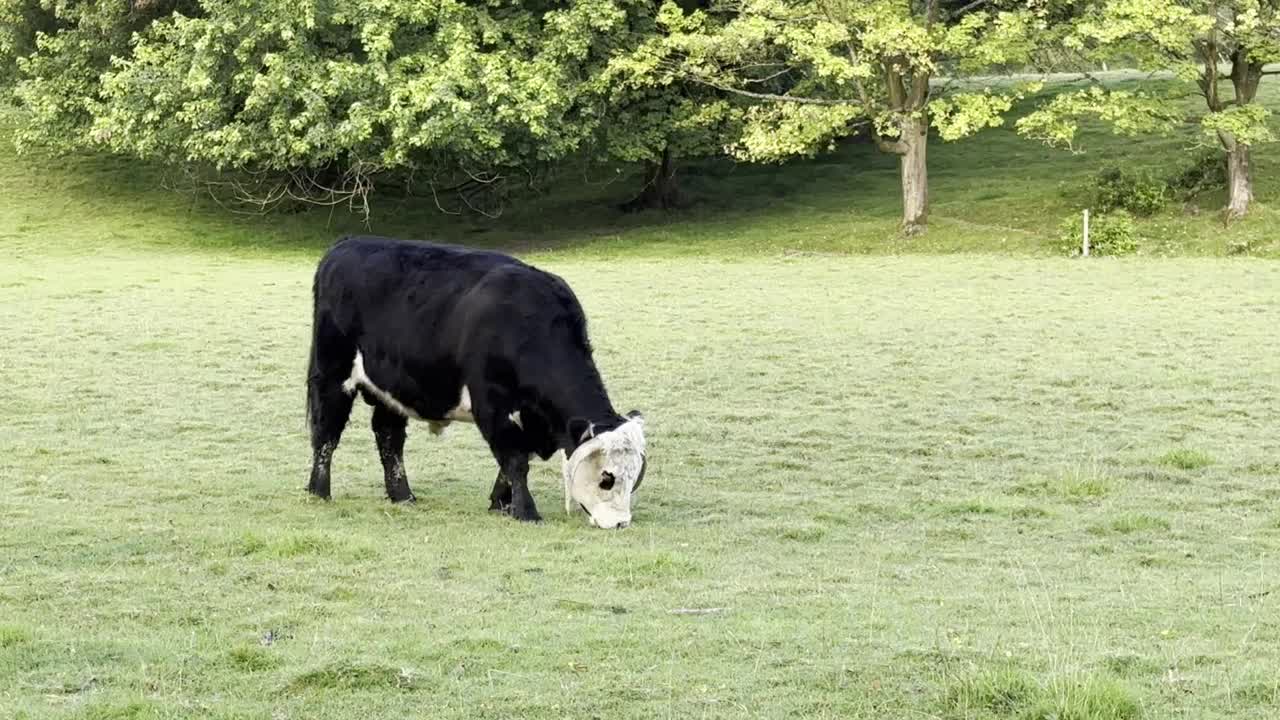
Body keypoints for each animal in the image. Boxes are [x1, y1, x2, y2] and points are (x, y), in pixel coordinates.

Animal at [304, 235, 650, 527]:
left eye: (633, 478)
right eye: (606, 478)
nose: (620, 523)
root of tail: (345, 245)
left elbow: (515, 459)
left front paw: (501, 503)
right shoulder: (492, 406)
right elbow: (515, 459)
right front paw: (526, 512)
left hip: (392, 385)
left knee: (388, 435)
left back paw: (403, 496)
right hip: (332, 375)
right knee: (327, 433)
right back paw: (319, 491)